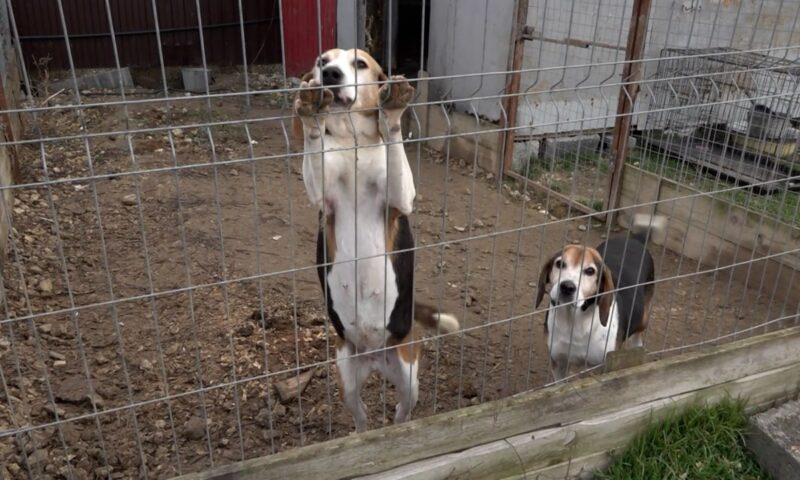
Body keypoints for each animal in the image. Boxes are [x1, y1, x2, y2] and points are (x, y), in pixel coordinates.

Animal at [294, 50, 460, 434]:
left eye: (360, 64)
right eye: (322, 60)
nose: (330, 74)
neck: (351, 141)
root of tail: (373, 357)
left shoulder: (400, 200)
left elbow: (395, 143)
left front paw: (392, 114)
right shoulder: (321, 198)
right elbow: (313, 144)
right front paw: (310, 112)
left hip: (409, 375)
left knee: (402, 409)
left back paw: (398, 426)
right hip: (346, 375)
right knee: (362, 416)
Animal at [536, 215, 668, 382]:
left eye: (590, 271)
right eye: (559, 263)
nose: (567, 287)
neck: (575, 321)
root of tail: (635, 239)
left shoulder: (608, 364)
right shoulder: (558, 363)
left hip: (642, 318)